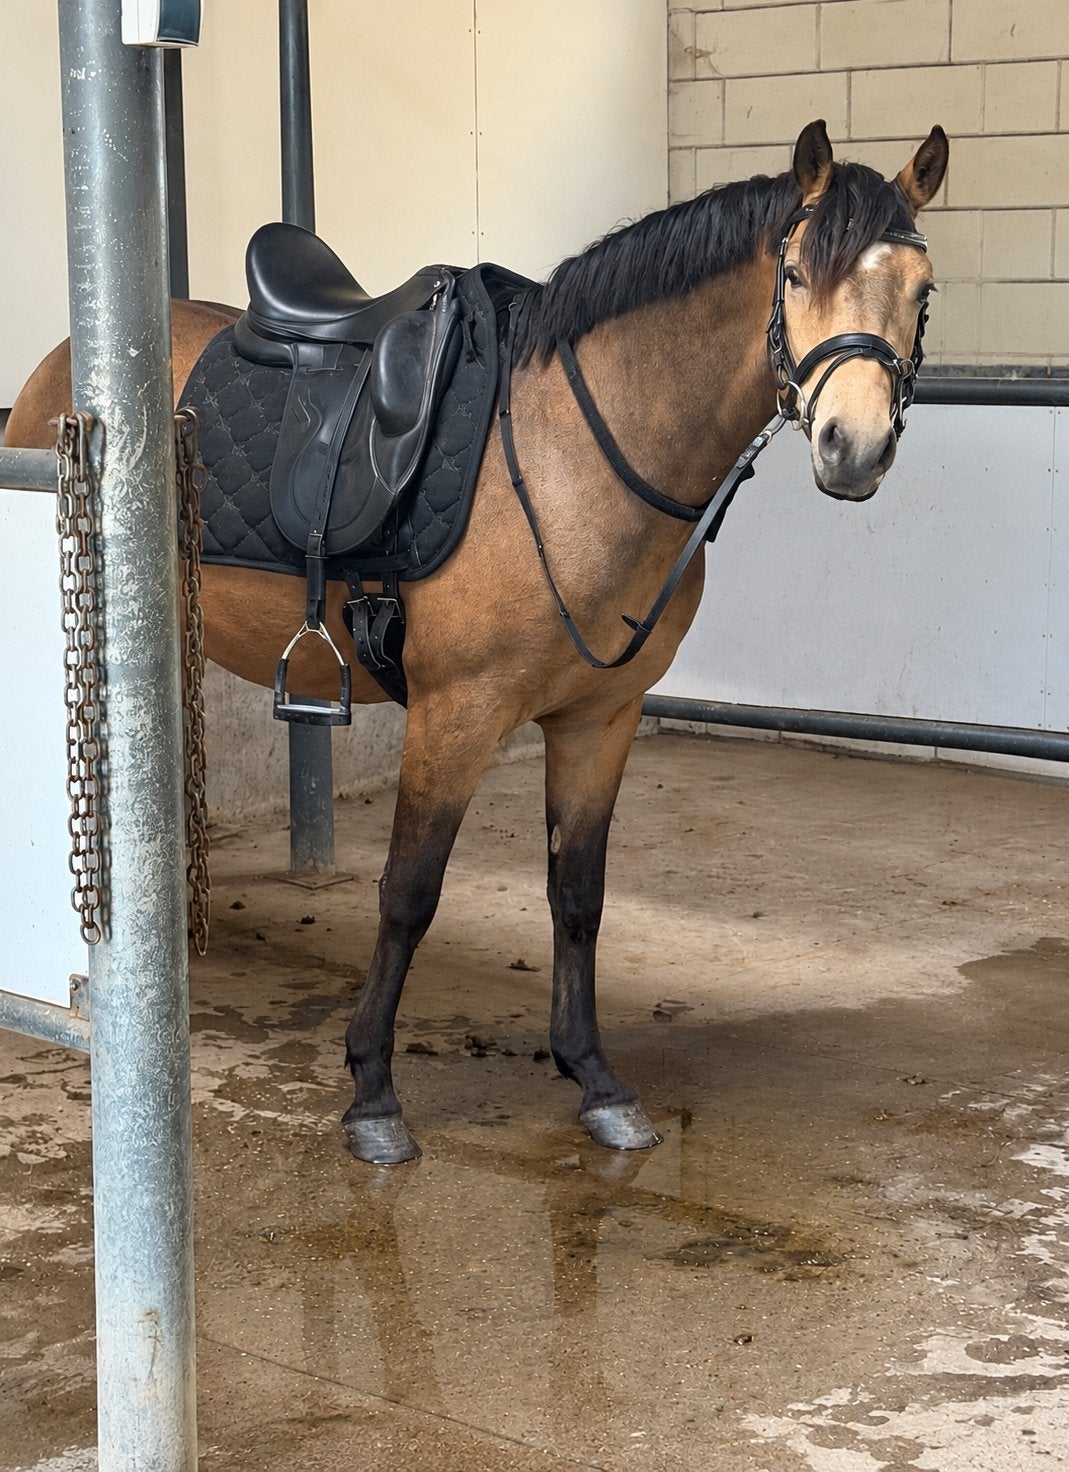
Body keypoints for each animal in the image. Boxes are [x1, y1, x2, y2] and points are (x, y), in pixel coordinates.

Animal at [7, 120, 948, 1164]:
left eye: (922, 288)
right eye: (793, 274)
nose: (851, 448)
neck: (575, 451)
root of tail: (62, 367)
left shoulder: (598, 718)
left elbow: (577, 895)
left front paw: (593, 1078)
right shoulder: (457, 715)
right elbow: (408, 894)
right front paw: (372, 1094)